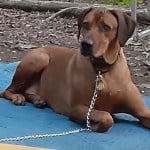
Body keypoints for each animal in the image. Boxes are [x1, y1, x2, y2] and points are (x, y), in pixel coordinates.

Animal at [0, 7, 150, 132]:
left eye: (106, 27)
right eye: (85, 24)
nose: (85, 44)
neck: (102, 69)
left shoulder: (142, 111)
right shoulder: (77, 108)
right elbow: (107, 117)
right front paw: (90, 123)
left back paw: (37, 99)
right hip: (39, 58)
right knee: (7, 90)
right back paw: (17, 97)